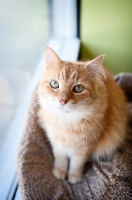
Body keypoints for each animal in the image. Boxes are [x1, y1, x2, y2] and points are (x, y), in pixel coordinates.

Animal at [37, 47, 127, 183]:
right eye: (54, 84)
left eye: (78, 88)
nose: (62, 101)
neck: (66, 122)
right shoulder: (57, 142)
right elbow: (61, 159)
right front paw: (60, 172)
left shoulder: (85, 147)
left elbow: (76, 164)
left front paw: (74, 177)